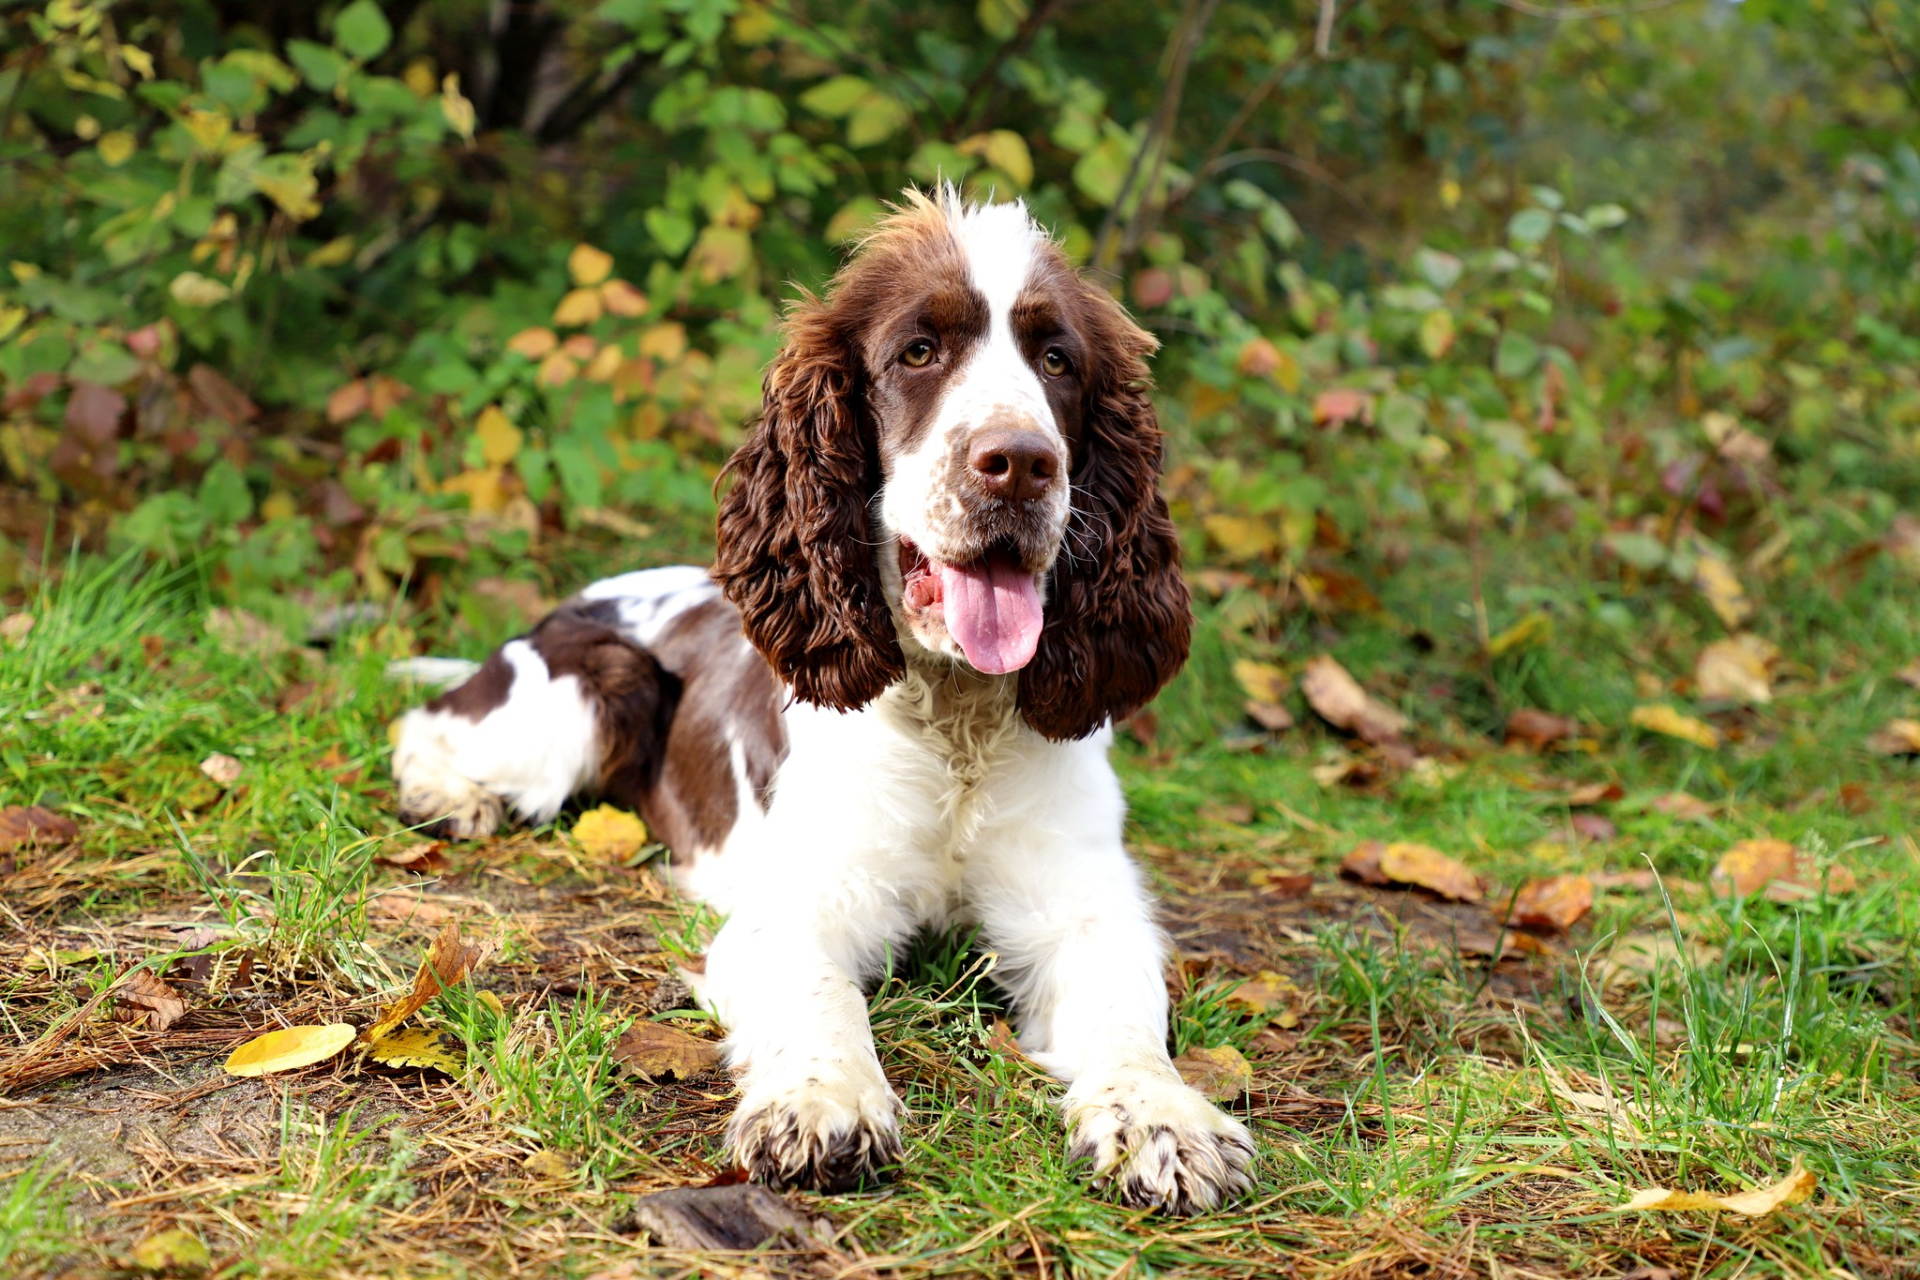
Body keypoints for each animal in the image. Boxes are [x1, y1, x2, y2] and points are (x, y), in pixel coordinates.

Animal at [389, 188, 1259, 1212]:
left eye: (1058, 362)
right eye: (917, 351)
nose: (1020, 463)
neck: (955, 723)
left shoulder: (1083, 902)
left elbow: (1129, 1015)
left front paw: (1165, 1121)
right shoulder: (799, 902)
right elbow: (822, 994)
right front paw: (822, 1102)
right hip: (590, 693)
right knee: (429, 723)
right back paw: (449, 796)